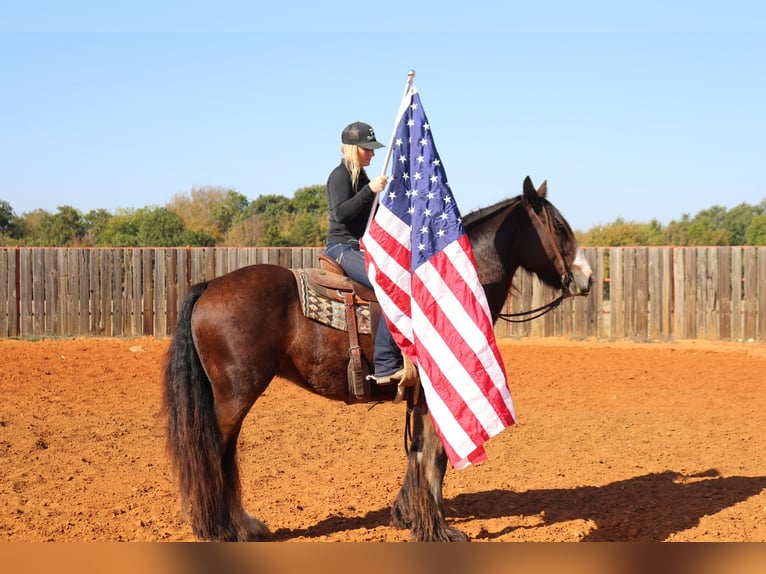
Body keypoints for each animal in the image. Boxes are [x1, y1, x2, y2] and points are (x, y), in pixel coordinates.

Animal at [160, 177, 592, 544]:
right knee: (213, 453)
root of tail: (208, 286)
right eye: (558, 228)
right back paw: (217, 528)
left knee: (225, 454)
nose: (586, 278)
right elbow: (434, 457)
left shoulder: (421, 396)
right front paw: (437, 529)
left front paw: (408, 514)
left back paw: (243, 524)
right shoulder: (437, 390)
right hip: (235, 395)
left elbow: (419, 452)